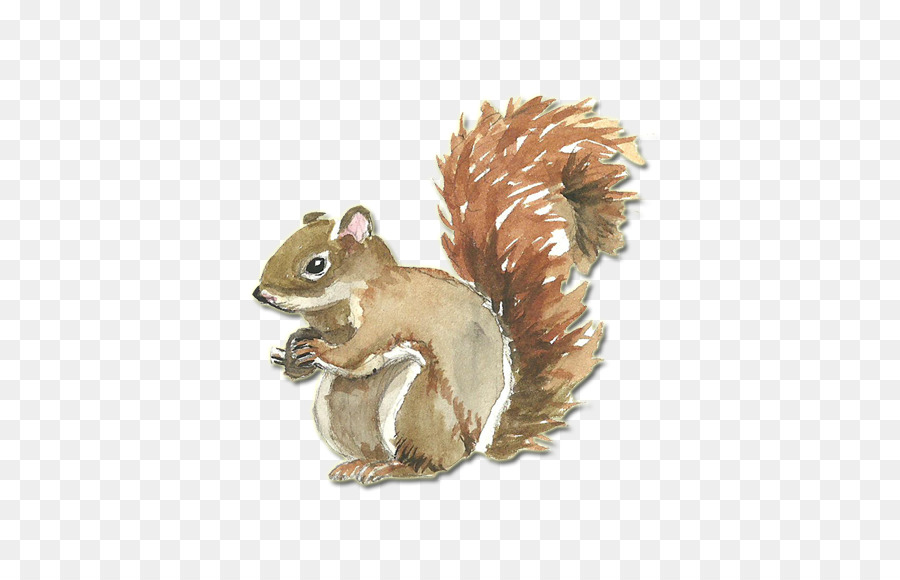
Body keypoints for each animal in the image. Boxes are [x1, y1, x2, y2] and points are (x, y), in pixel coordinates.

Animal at [253, 97, 643, 485]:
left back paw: (390, 467)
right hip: (338, 411)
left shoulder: (386, 312)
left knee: (425, 464)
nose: (260, 295)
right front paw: (291, 354)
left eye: (316, 265)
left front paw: (317, 350)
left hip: (418, 411)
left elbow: (356, 353)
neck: (339, 304)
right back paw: (357, 465)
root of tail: (474, 445)